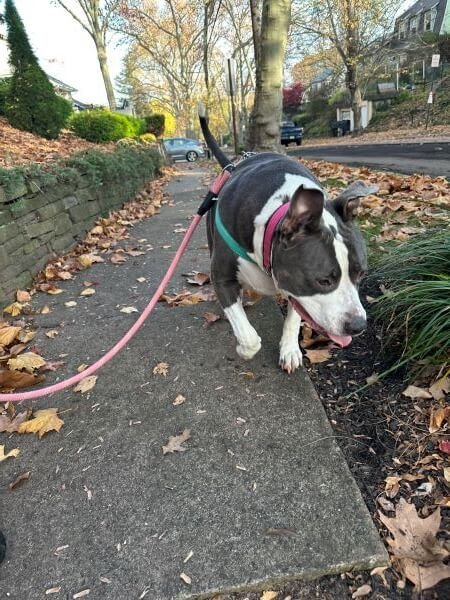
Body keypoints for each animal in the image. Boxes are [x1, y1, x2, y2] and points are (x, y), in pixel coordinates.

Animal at [199, 108, 378, 370]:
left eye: (362, 273)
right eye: (324, 281)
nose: (358, 325)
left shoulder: (296, 285)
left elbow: (295, 315)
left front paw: (290, 349)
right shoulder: (222, 277)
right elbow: (250, 337)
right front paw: (244, 348)